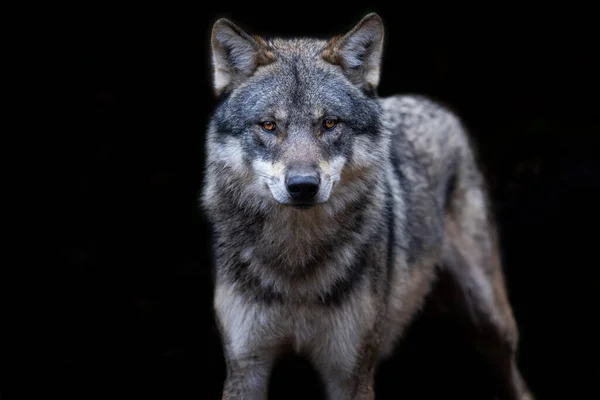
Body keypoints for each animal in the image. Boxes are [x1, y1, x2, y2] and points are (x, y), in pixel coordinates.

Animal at [203, 12, 536, 400]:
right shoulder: (246, 369)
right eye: (269, 125)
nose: (302, 186)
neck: (296, 265)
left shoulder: (350, 374)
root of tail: (429, 103)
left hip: (489, 315)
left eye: (329, 123)